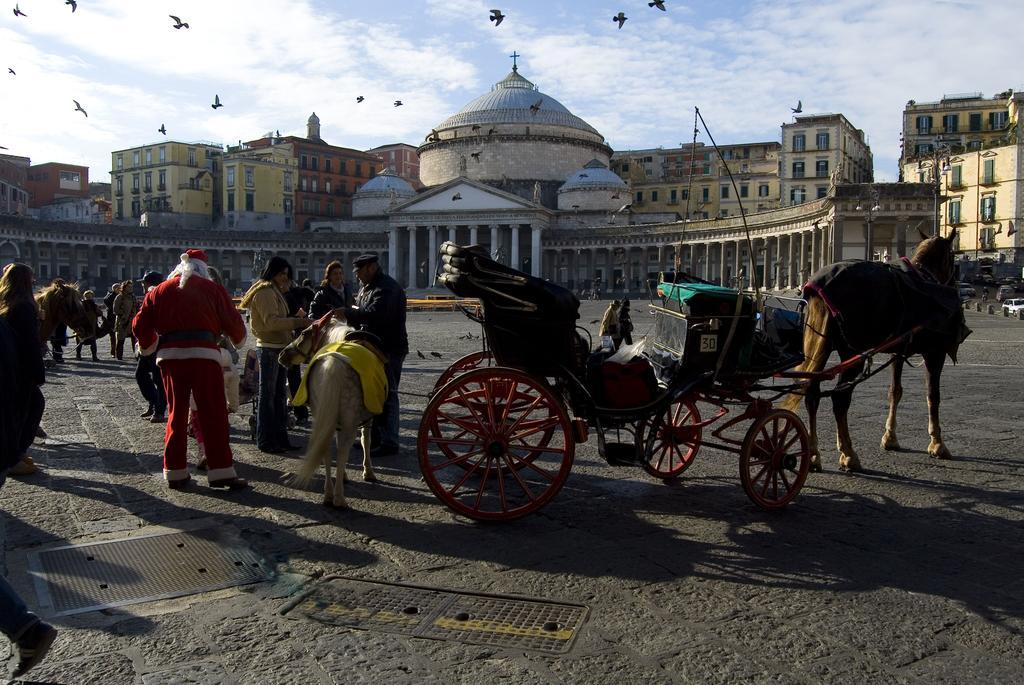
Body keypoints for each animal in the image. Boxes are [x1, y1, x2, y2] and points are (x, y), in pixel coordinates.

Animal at [276, 313, 387, 505]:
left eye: (303, 333)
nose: (282, 354)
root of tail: (333, 363)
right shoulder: (366, 419)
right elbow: (365, 441)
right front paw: (368, 472)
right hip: (349, 420)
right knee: (342, 450)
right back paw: (339, 498)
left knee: (326, 448)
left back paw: (328, 493)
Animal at [782, 229, 966, 471]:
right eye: (953, 258)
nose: (955, 286)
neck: (925, 277)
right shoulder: (935, 351)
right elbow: (933, 395)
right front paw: (937, 444)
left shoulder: (898, 350)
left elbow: (895, 391)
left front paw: (890, 438)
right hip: (853, 352)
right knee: (839, 399)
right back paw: (848, 454)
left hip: (821, 344)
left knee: (812, 393)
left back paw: (813, 455)